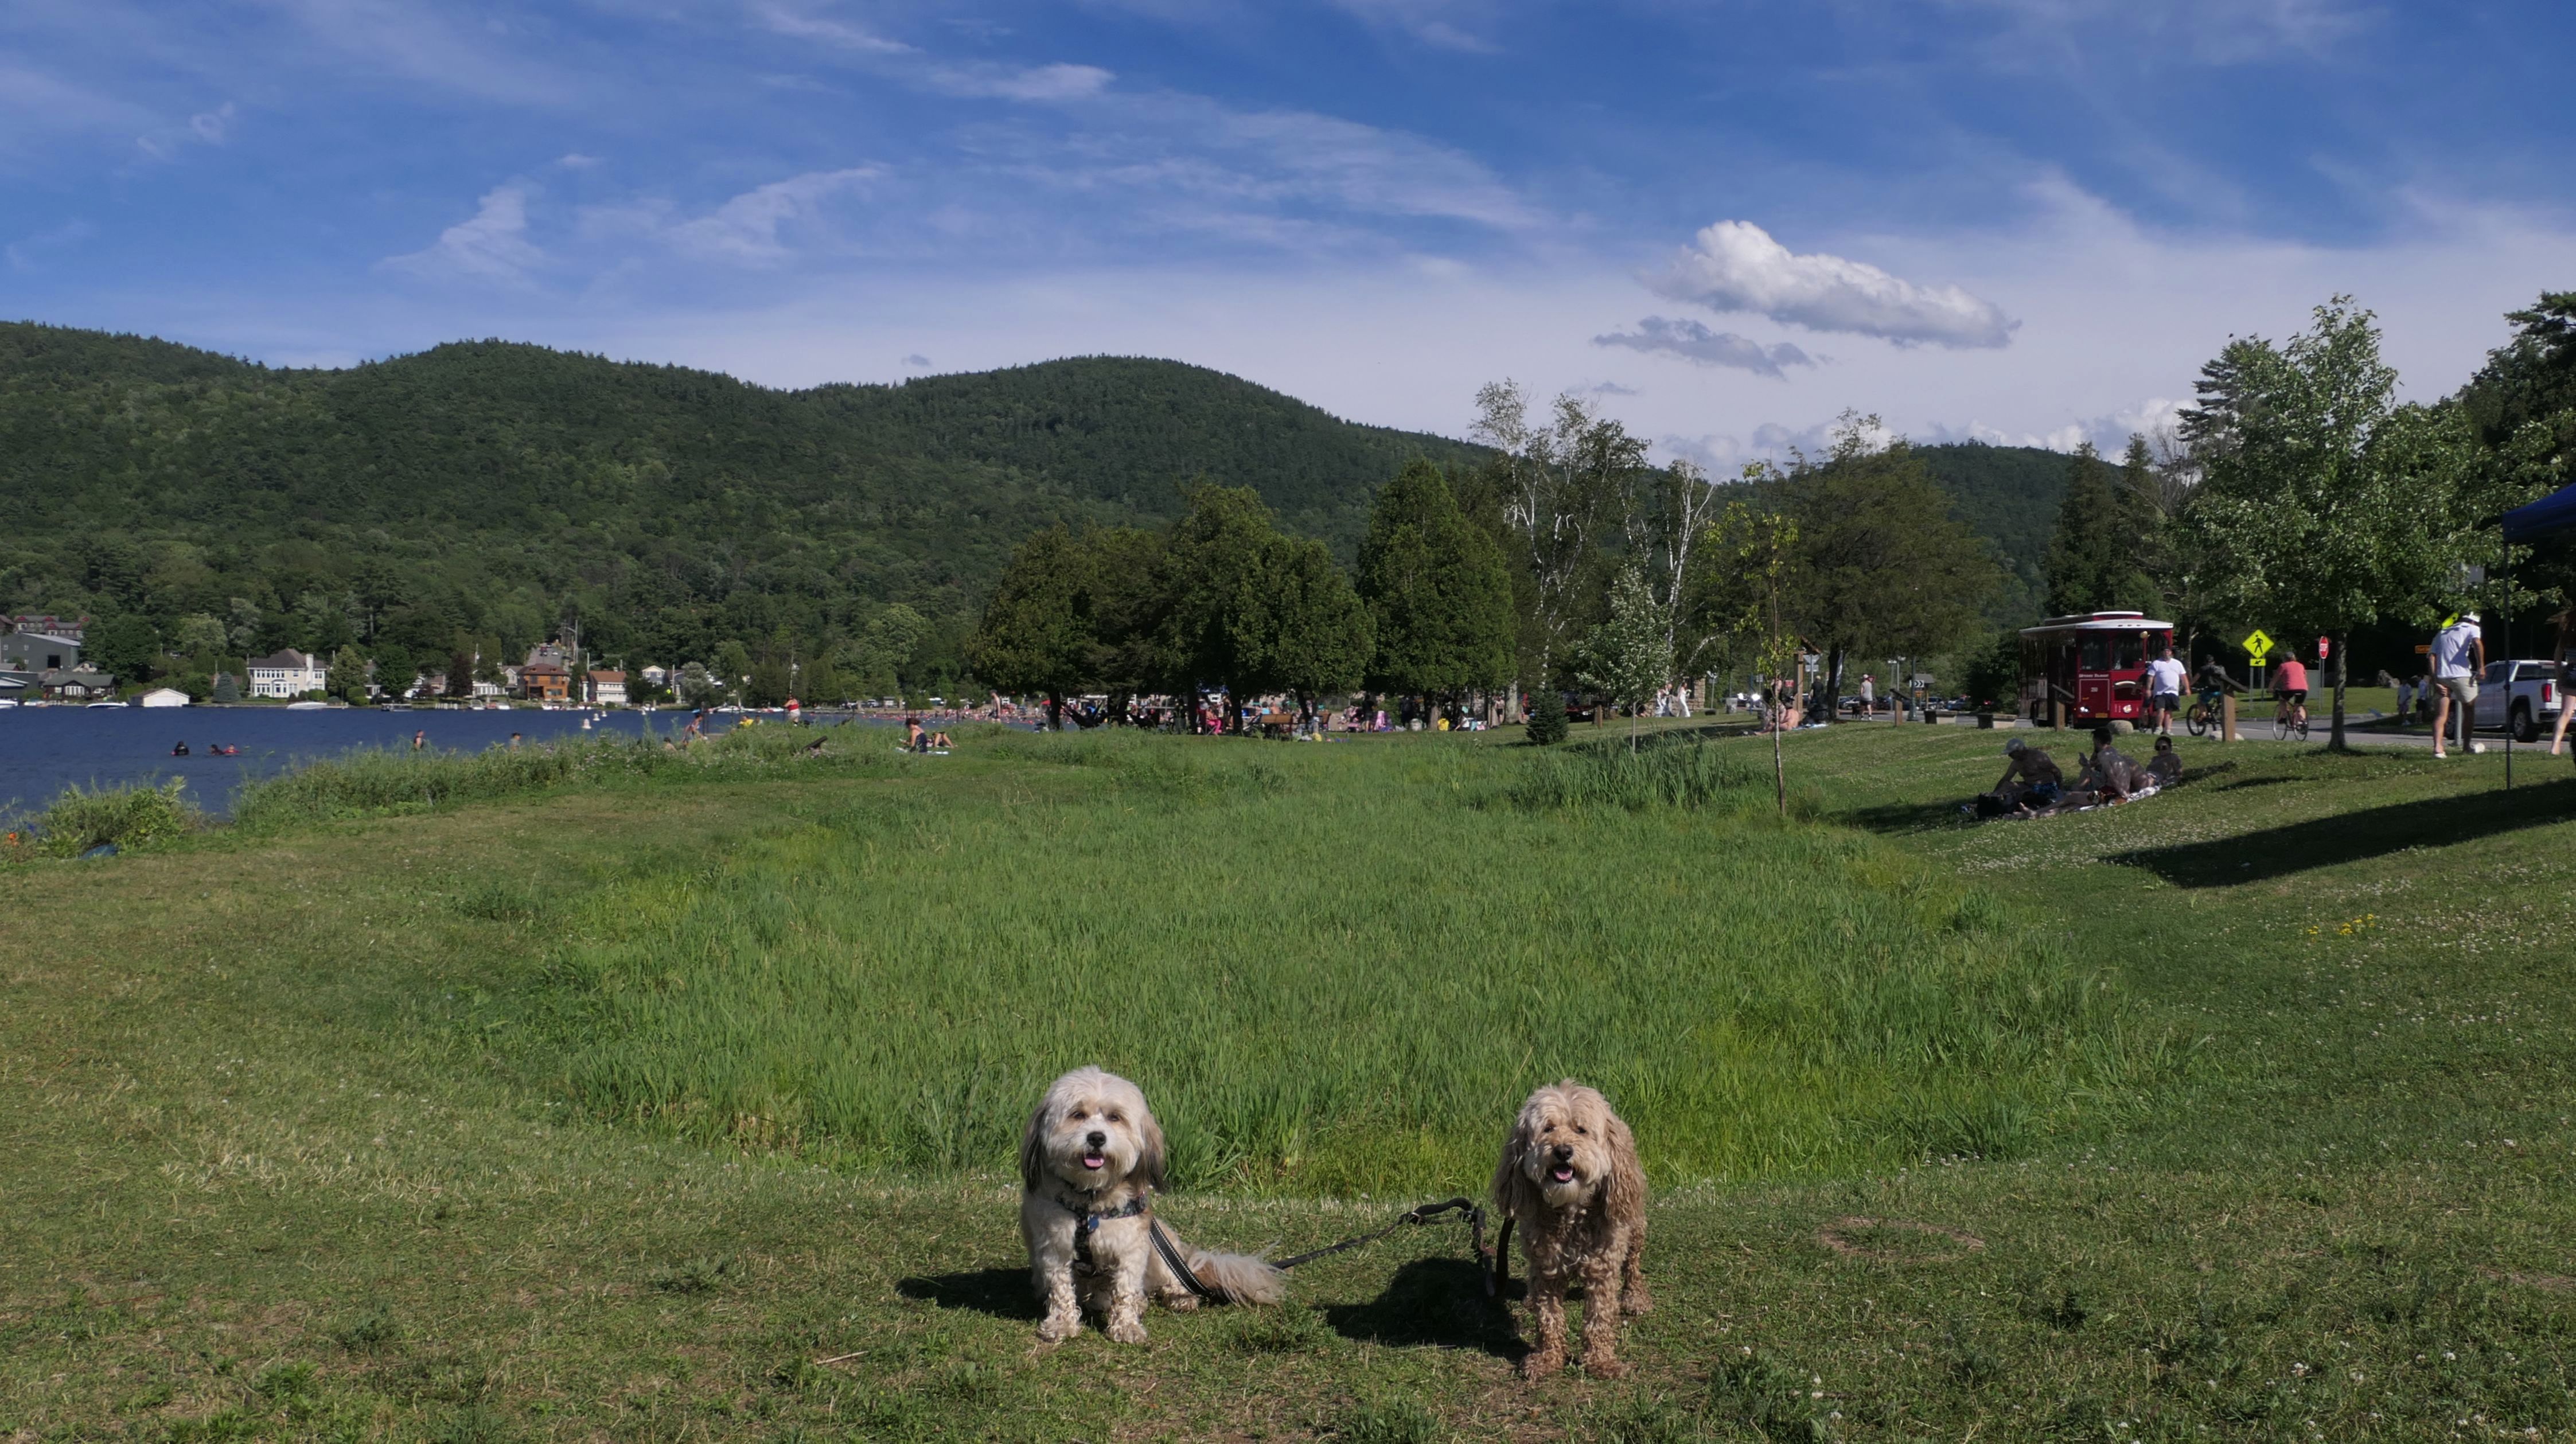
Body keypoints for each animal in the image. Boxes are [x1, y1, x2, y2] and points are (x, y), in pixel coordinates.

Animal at [1019, 1066, 1285, 1342]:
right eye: (1078, 1114)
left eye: (1115, 1118)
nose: (1096, 1138)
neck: (1092, 1202)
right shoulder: (1056, 1248)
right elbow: (1061, 1290)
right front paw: (1061, 1324)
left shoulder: (1132, 1247)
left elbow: (1125, 1290)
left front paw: (1126, 1326)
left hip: (1160, 1248)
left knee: (1170, 1280)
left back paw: (1178, 1297)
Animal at [1493, 1080, 1650, 1377]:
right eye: (1548, 1129)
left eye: (1581, 1130)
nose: (1563, 1151)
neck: (1571, 1210)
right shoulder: (1546, 1269)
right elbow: (1549, 1318)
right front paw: (1548, 1358)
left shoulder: (1603, 1268)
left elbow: (1599, 1318)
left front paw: (1601, 1361)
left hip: (1634, 1224)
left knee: (1633, 1263)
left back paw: (1635, 1297)